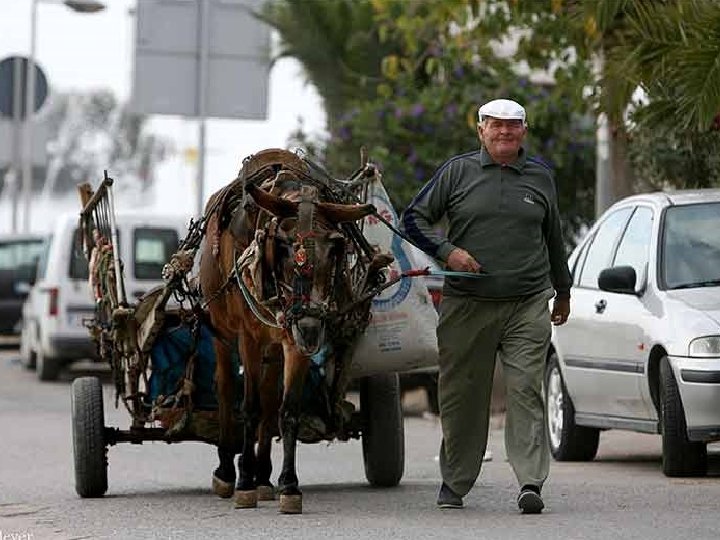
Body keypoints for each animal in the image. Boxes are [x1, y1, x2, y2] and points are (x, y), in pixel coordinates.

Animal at [198, 149, 391, 514]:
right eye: (283, 246)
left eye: (336, 249)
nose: (310, 329)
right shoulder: (249, 338)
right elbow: (250, 408)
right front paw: (243, 483)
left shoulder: (294, 339)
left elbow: (286, 411)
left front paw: (288, 485)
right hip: (220, 332)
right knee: (226, 390)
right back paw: (228, 471)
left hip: (275, 347)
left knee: (270, 398)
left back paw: (262, 476)